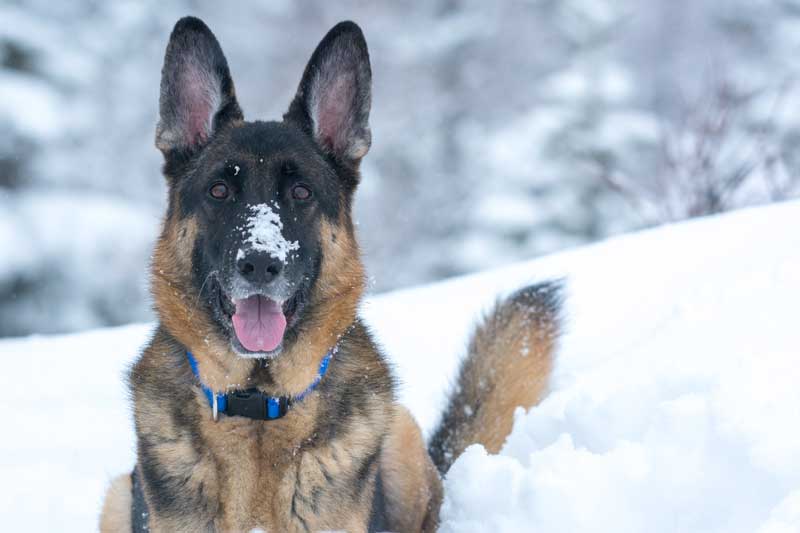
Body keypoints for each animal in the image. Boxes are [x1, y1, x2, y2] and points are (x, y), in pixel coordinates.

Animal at [98, 16, 564, 532]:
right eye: (219, 190)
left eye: (301, 192)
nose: (260, 263)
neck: (257, 404)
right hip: (116, 496)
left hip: (401, 430)